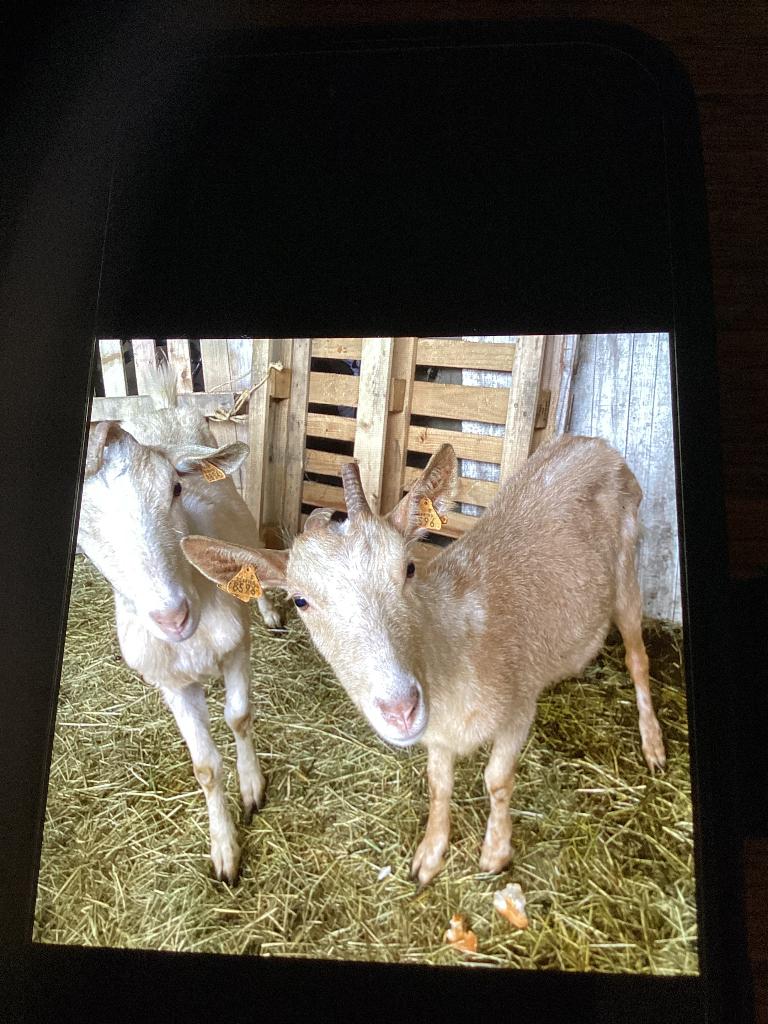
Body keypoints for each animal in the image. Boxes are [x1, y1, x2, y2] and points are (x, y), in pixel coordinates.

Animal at [76, 363, 281, 883]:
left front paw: (253, 788)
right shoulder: (170, 682)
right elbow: (205, 767)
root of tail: (165, 405)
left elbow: (240, 716)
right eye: (81, 525)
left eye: (173, 489)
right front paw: (225, 851)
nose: (172, 615)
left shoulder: (237, 647)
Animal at [180, 434, 666, 887]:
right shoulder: (437, 737)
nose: (400, 709)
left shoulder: (518, 707)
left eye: (409, 568)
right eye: (300, 600)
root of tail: (595, 443)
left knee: (638, 658)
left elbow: (497, 779)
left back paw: (654, 747)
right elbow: (438, 785)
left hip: (628, 569)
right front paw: (429, 859)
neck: (455, 646)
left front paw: (495, 854)